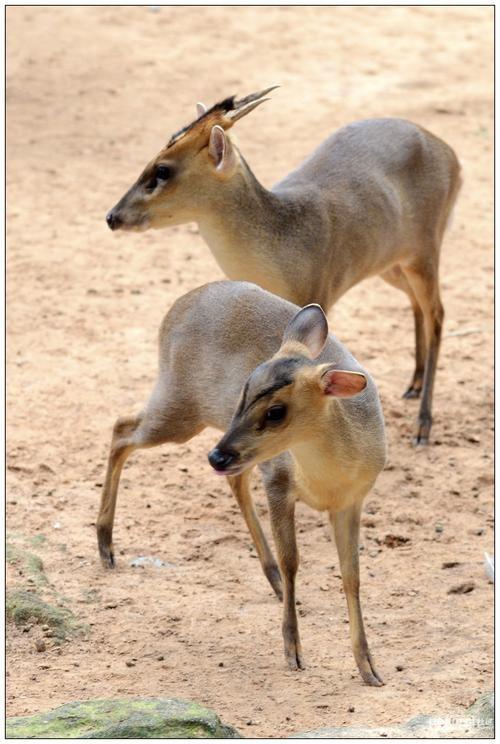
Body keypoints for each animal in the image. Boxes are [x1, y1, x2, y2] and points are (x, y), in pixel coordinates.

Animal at [97, 284, 386, 684]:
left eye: (276, 411)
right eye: (244, 391)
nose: (215, 457)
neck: (327, 477)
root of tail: (180, 304)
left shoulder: (351, 501)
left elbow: (352, 576)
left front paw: (368, 666)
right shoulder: (279, 483)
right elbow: (293, 561)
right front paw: (293, 650)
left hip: (220, 439)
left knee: (229, 479)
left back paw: (273, 582)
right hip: (181, 411)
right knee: (121, 430)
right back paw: (105, 546)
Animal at [107, 87, 462, 448]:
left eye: (163, 170)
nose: (112, 216)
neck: (280, 239)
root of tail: (447, 151)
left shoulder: (318, 297)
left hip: (424, 253)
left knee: (436, 313)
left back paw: (423, 425)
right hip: (392, 265)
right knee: (416, 305)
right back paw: (413, 384)